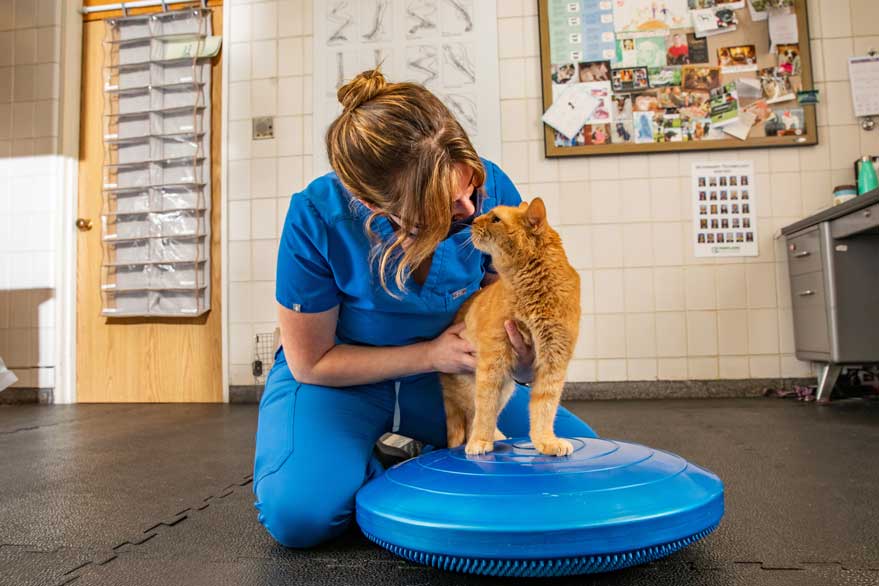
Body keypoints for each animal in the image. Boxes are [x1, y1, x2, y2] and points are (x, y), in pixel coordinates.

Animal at [444, 198, 580, 454]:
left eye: (495, 218)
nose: (473, 221)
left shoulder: (553, 359)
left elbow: (544, 407)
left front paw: (545, 441)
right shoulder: (492, 360)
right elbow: (484, 409)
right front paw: (480, 441)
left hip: (506, 388)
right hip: (472, 385)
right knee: (472, 415)